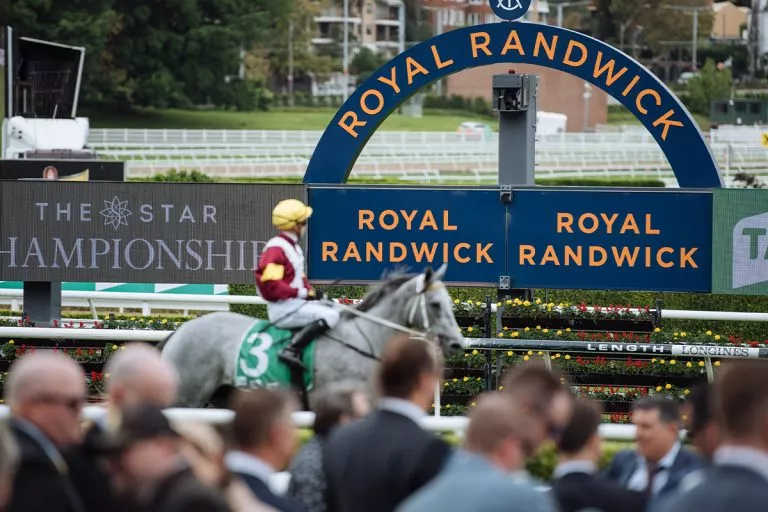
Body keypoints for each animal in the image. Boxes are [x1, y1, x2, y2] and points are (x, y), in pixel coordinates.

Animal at [159, 264, 464, 408]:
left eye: (448, 302)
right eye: (435, 304)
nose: (458, 343)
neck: (363, 341)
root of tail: (179, 332)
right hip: (185, 397)